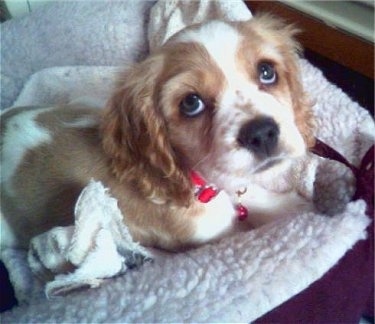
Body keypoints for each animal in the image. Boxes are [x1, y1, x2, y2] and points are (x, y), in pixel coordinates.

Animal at [1, 16, 316, 252]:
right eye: (191, 103)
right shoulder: (208, 237)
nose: (261, 133)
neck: (202, 183)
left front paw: (294, 206)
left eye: (266, 71)